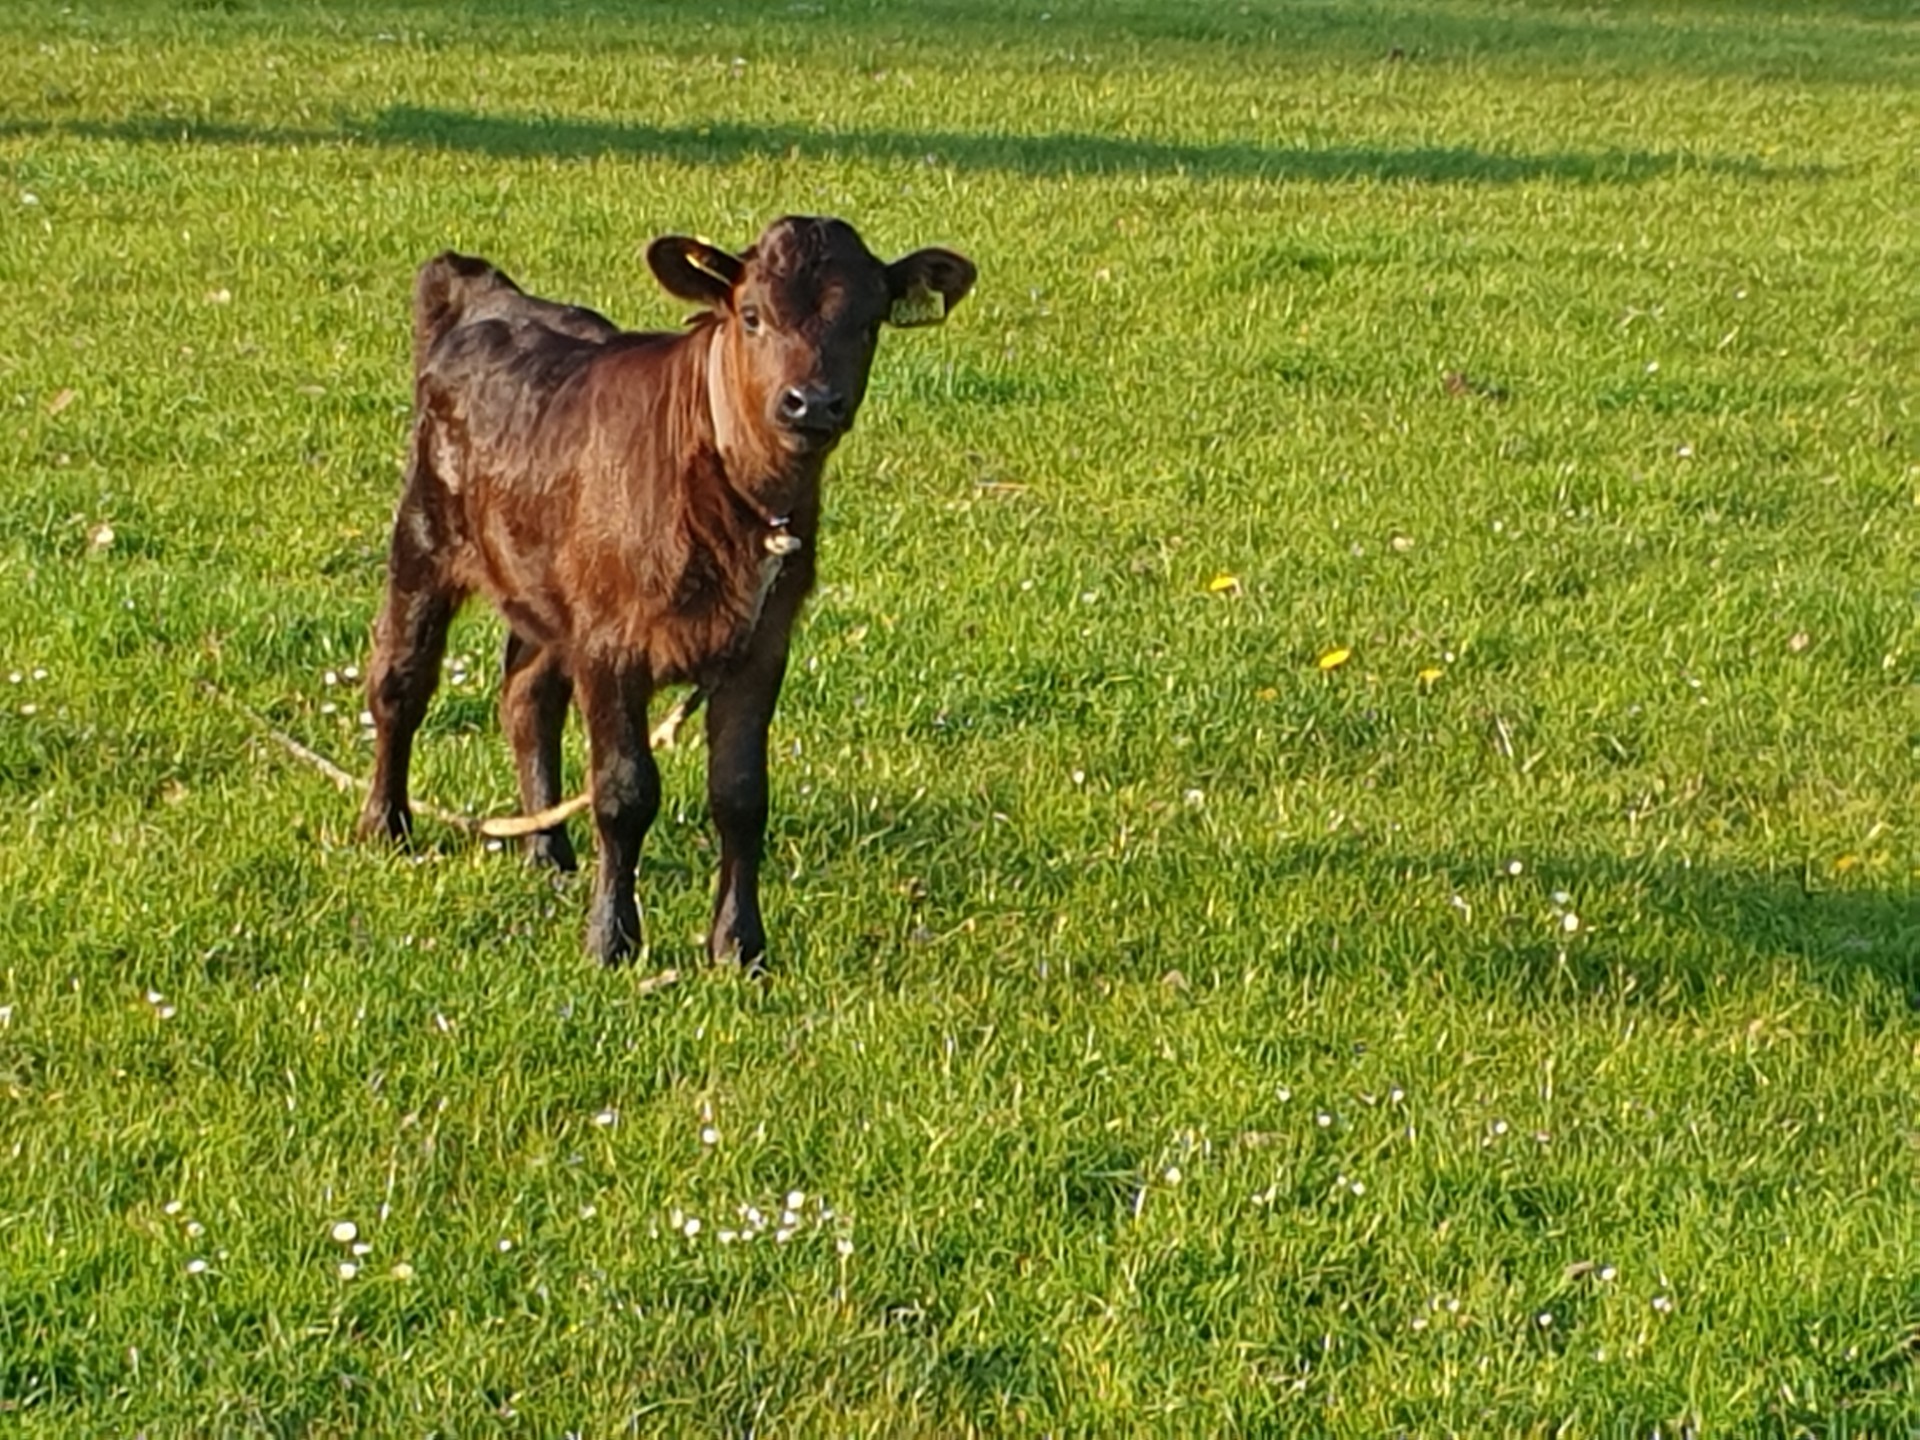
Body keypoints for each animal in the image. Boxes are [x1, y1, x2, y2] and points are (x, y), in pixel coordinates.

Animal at [362, 216, 975, 971]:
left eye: (868, 322)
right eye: (752, 315)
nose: (812, 402)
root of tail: (486, 292)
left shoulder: (761, 646)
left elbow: (741, 794)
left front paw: (739, 945)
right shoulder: (609, 642)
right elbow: (624, 791)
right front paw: (612, 940)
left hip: (544, 585)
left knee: (526, 699)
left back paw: (547, 852)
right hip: (424, 537)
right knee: (400, 682)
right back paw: (387, 826)